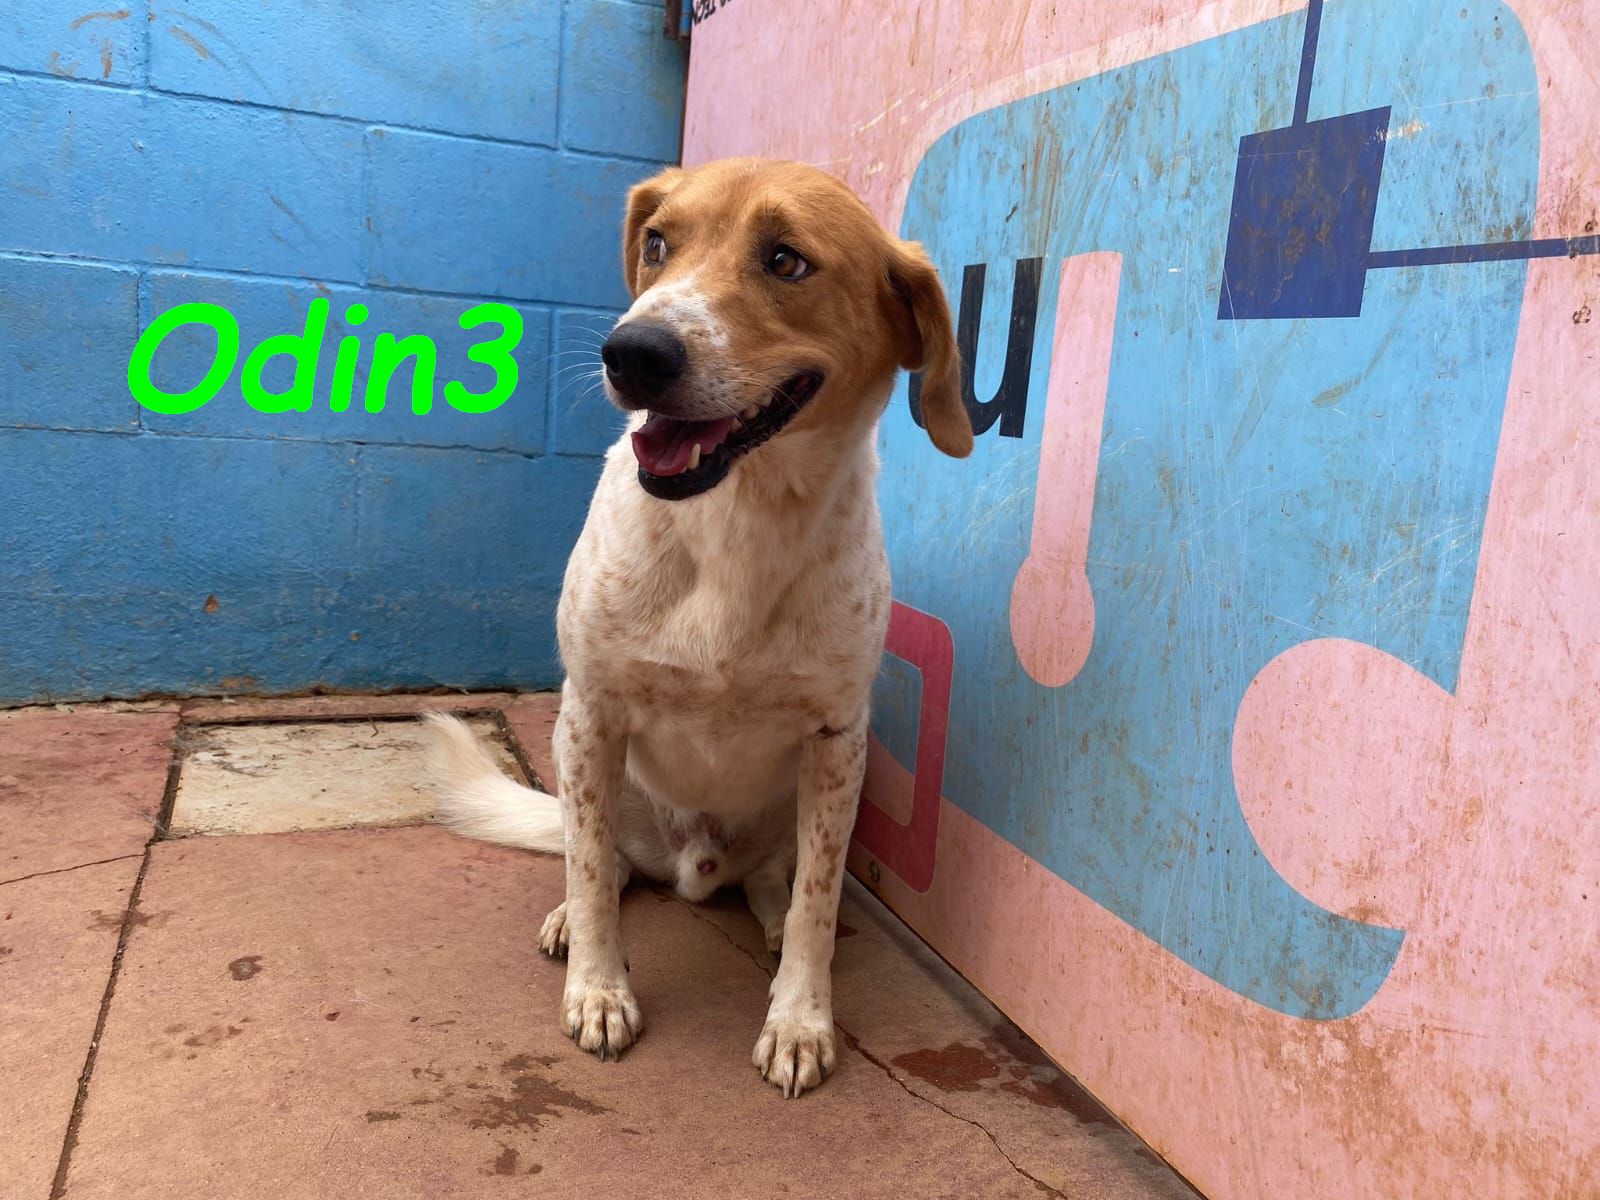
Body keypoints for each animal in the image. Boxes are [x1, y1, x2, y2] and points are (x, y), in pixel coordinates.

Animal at [425, 157, 970, 1097]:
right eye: (655, 244)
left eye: (786, 260)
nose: (631, 353)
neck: (739, 516)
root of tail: (692, 867)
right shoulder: (592, 712)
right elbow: (591, 873)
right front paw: (599, 990)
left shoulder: (837, 740)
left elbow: (819, 898)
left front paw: (800, 1019)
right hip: (589, 766)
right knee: (599, 858)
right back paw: (573, 915)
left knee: (776, 882)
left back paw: (771, 922)